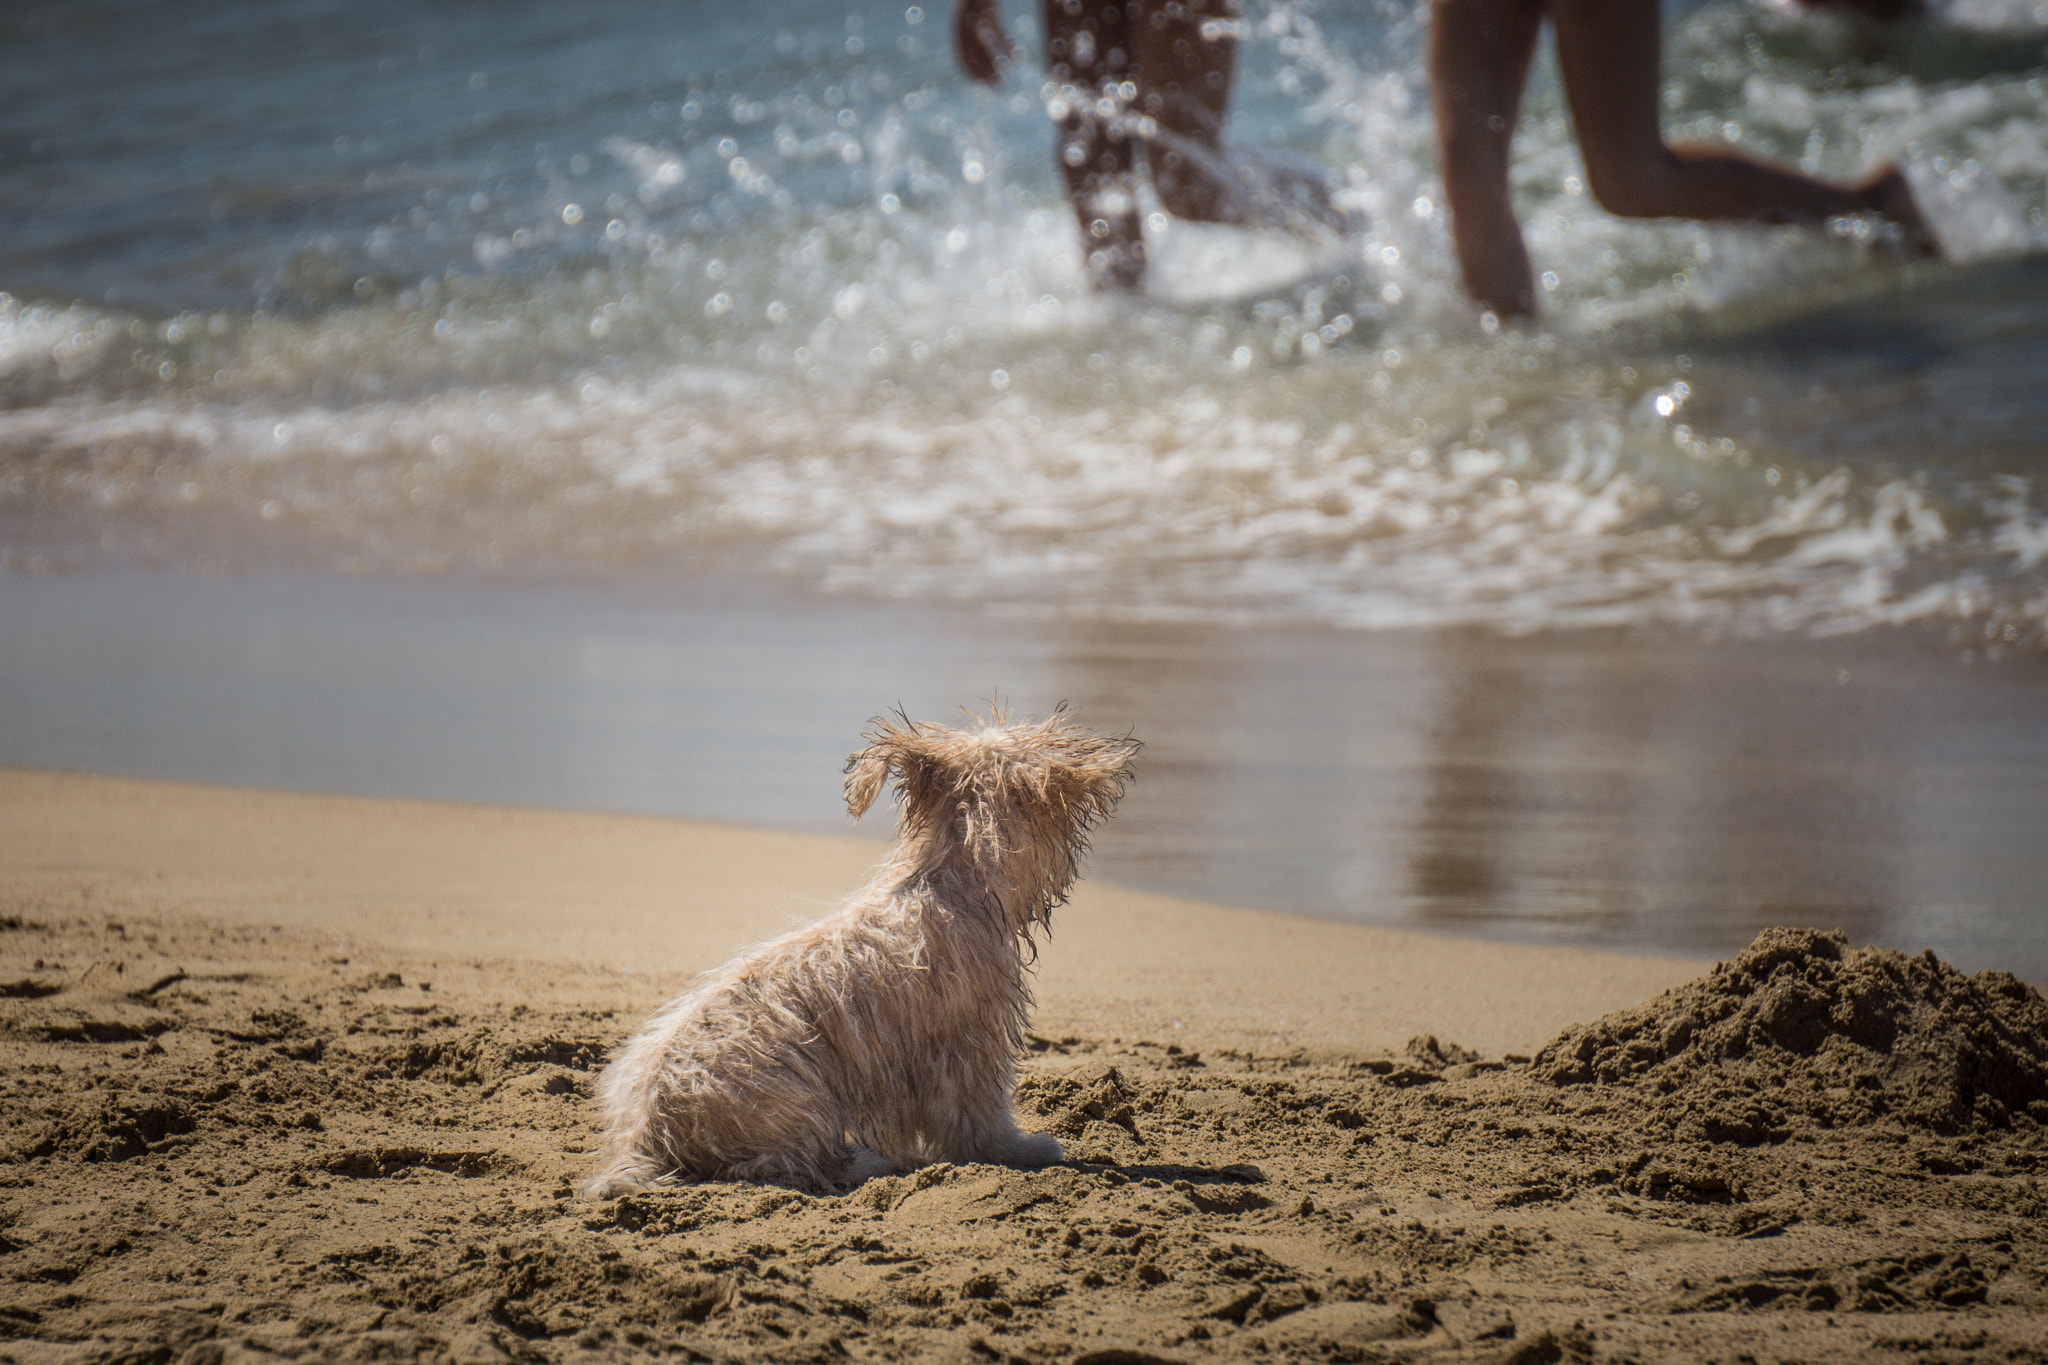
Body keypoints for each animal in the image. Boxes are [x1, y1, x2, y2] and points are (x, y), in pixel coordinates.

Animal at [585, 703, 1146, 1195]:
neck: (947, 879)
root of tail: (646, 1139)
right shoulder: (968, 1040)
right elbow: (980, 1117)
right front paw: (1021, 1150)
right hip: (797, 1098)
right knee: (788, 1164)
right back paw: (870, 1161)